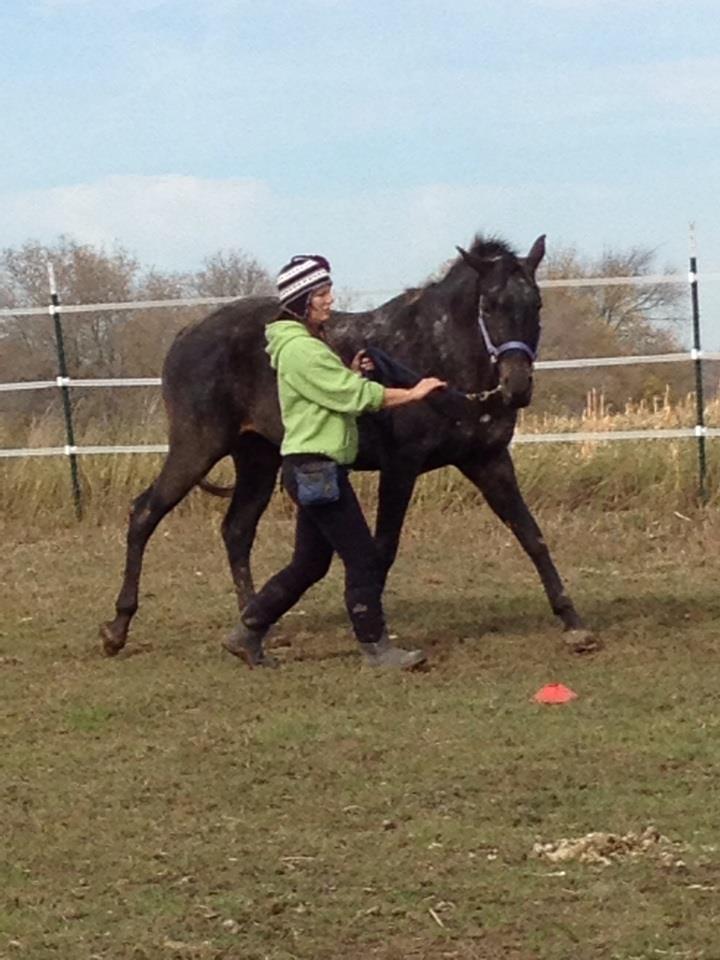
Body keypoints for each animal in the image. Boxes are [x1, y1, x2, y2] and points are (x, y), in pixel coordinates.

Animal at [100, 234, 597, 657]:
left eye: (535, 303)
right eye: (490, 305)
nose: (517, 387)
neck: (441, 360)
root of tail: (187, 334)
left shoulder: (488, 460)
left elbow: (531, 535)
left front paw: (574, 624)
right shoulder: (401, 467)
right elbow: (383, 549)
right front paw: (376, 630)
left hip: (256, 459)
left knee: (237, 531)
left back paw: (257, 628)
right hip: (197, 447)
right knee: (144, 514)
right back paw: (117, 630)